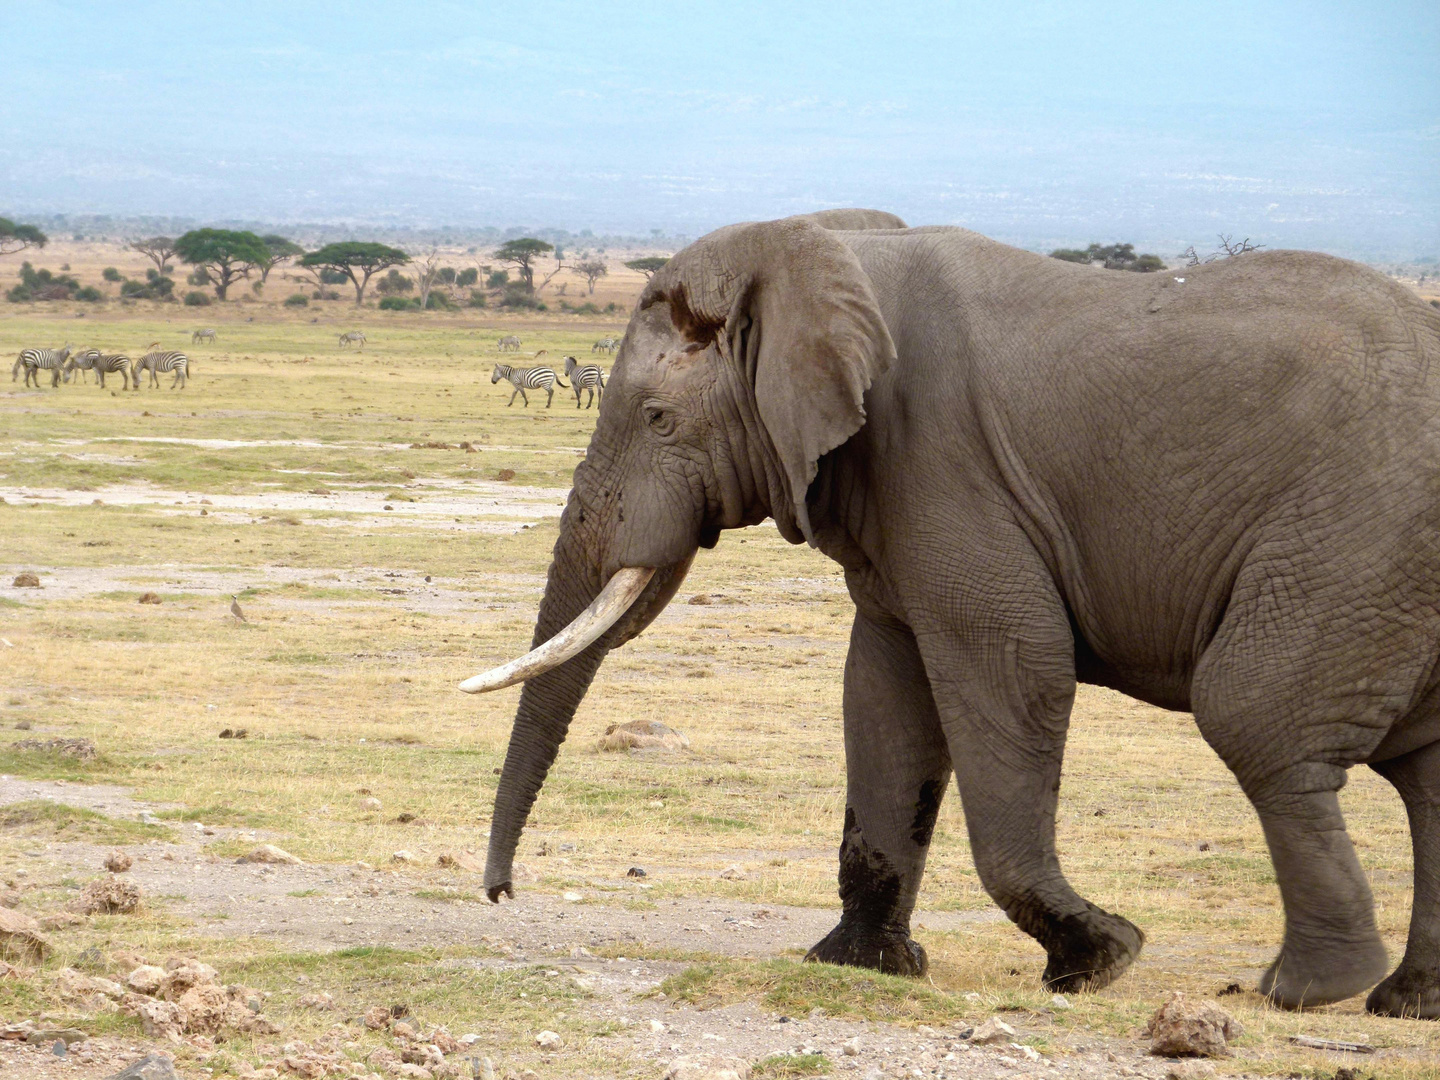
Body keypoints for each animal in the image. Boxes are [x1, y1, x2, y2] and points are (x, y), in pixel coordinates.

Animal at [469, 207, 1440, 1019]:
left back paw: (1308, 991)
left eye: (658, 419)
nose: (501, 894)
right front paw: (859, 965)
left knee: (1257, 719)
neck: (826, 248)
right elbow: (883, 698)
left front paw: (1099, 960)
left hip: (1356, 533)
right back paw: (1407, 1003)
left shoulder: (945, 462)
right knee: (1423, 767)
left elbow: (1016, 662)